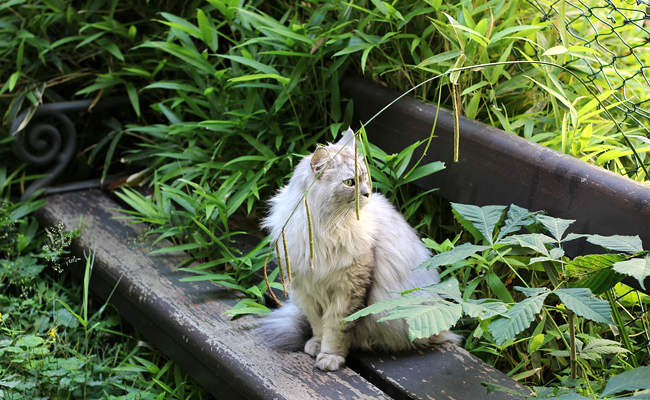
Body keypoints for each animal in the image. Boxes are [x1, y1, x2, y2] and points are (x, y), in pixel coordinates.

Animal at [258, 128, 460, 372]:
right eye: (350, 182)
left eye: (365, 178)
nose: (367, 194)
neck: (324, 228)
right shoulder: (307, 290)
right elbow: (318, 325)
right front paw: (316, 345)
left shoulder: (349, 289)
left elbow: (335, 329)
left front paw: (330, 357)